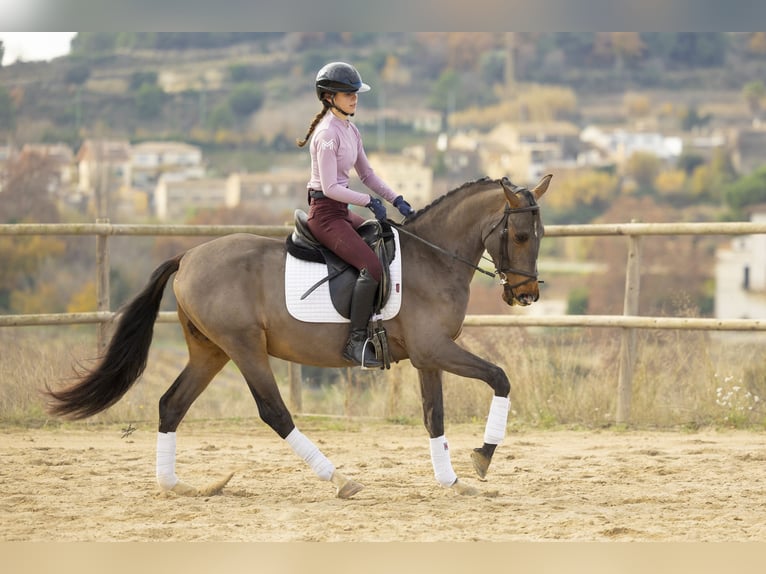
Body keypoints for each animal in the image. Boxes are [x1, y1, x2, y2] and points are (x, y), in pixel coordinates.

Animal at [45, 174, 551, 499]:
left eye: (540, 233)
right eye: (520, 235)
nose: (526, 295)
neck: (434, 259)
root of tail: (187, 257)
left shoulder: (428, 357)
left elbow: (434, 416)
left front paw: (452, 481)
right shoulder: (438, 349)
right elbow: (500, 378)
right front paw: (483, 457)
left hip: (210, 352)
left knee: (171, 404)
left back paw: (176, 486)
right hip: (244, 348)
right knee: (274, 412)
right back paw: (339, 479)